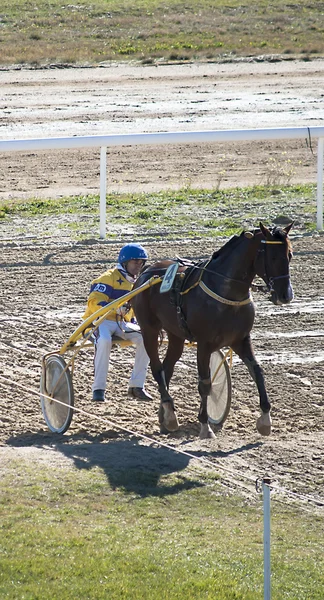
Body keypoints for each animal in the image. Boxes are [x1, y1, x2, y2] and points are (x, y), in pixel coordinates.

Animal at [132, 223, 294, 438]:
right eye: (273, 257)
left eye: (290, 254)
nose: (285, 295)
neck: (226, 292)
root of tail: (147, 271)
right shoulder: (204, 344)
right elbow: (205, 383)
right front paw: (205, 425)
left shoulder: (241, 340)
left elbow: (257, 372)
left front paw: (265, 420)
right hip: (148, 329)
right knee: (158, 369)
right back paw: (169, 413)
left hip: (175, 334)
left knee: (167, 368)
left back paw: (165, 416)